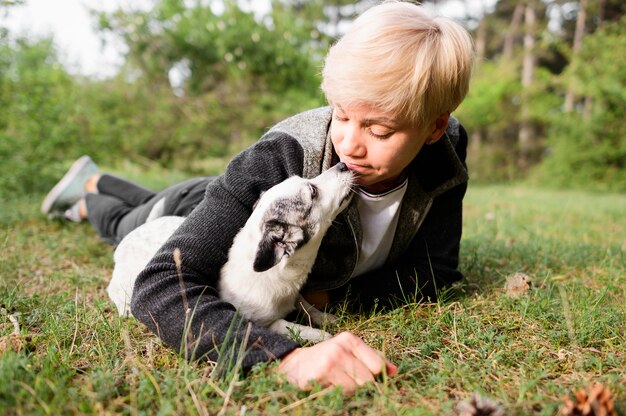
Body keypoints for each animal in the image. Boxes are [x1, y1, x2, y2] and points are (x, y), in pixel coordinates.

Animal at [106, 162, 352, 342]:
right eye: (313, 191)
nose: (342, 164)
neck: (279, 276)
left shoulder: (295, 297)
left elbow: (306, 306)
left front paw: (325, 317)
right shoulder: (262, 323)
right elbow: (288, 326)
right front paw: (321, 335)